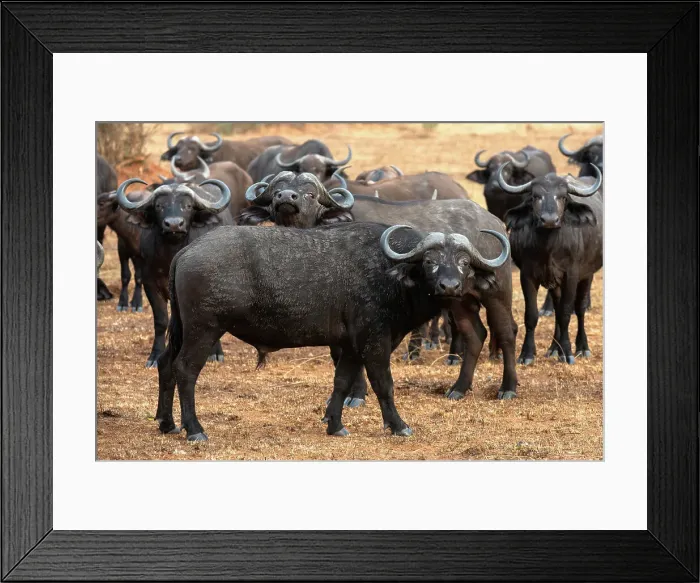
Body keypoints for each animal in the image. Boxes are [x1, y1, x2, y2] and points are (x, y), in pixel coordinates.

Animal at [115, 176, 234, 367]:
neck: (171, 255)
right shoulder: (150, 283)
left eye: (188, 206)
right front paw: (155, 356)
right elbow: (161, 321)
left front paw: (213, 353)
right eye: (159, 206)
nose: (173, 224)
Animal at [155, 222, 511, 441]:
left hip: (183, 330)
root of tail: (186, 252)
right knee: (185, 370)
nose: (449, 286)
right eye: (430, 261)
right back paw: (194, 429)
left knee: (165, 365)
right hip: (204, 331)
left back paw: (167, 423)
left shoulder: (351, 346)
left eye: (464, 262)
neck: (389, 273)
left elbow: (341, 383)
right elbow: (383, 385)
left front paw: (335, 424)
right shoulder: (375, 342)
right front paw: (398, 425)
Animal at [498, 162, 603, 365]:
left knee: (579, 308)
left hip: (587, 275)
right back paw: (554, 348)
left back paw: (582, 347)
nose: (549, 220)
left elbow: (566, 313)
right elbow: (532, 315)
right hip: (554, 284)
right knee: (556, 307)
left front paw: (568, 353)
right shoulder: (527, 275)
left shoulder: (571, 275)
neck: (549, 248)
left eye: (563, 197)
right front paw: (527, 354)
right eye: (535, 196)